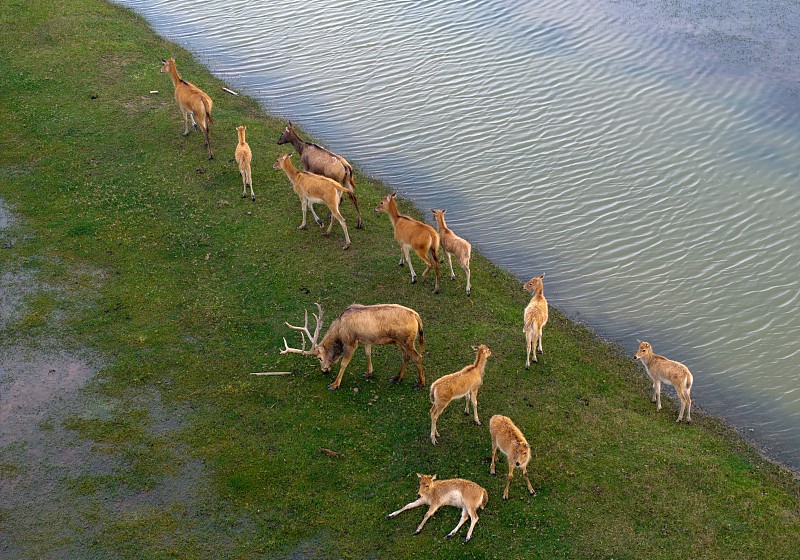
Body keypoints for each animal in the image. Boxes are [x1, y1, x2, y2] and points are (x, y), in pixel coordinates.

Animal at [280, 302, 428, 390]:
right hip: (402, 341)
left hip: (406, 340)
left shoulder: (350, 342)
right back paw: (397, 378)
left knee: (417, 357)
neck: (339, 331)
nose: (324, 370)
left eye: (319, 358)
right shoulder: (366, 339)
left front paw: (334, 384)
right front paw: (369, 372)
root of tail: (417, 317)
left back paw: (420, 383)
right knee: (406, 357)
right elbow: (368, 354)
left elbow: (344, 363)